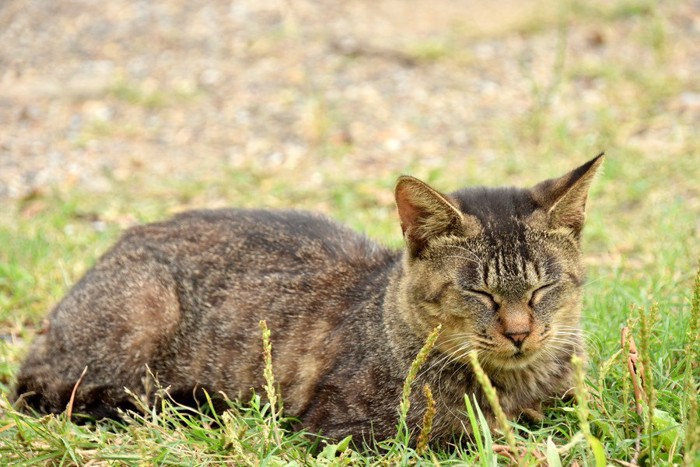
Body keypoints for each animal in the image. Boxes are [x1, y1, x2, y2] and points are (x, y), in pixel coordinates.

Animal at [9, 154, 600, 446]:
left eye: (542, 287)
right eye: (478, 291)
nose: (519, 332)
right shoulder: (348, 430)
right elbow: (464, 438)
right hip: (139, 318)